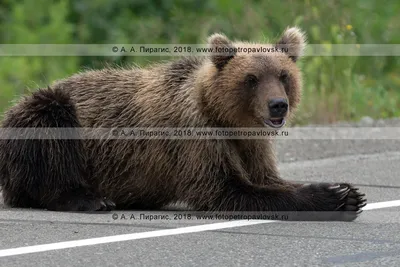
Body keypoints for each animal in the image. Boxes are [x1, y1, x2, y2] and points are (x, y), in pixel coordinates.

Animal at [0, 27, 366, 221]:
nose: (278, 104)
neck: (227, 119)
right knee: (48, 129)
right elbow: (227, 191)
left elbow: (266, 178)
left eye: (283, 75)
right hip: (45, 114)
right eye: (251, 78)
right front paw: (332, 196)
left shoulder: (253, 144)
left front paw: (349, 192)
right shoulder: (192, 137)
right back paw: (89, 199)